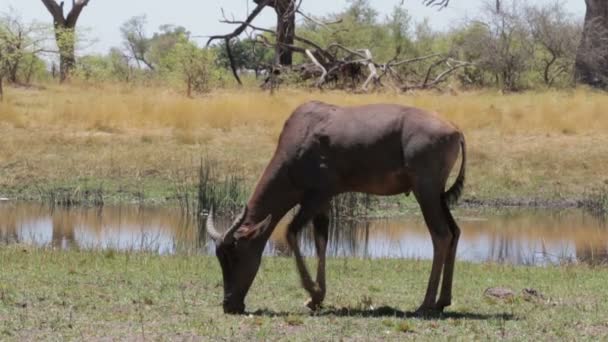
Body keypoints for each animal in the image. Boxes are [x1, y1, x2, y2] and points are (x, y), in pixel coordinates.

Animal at [204, 101, 466, 316]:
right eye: (219, 256)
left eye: (236, 254)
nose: (230, 305)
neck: (305, 131)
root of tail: (455, 130)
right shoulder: (324, 201)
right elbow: (321, 240)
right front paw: (315, 299)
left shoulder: (315, 197)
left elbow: (291, 231)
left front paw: (313, 294)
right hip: (437, 196)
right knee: (454, 232)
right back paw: (442, 302)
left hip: (426, 193)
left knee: (441, 235)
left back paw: (425, 305)